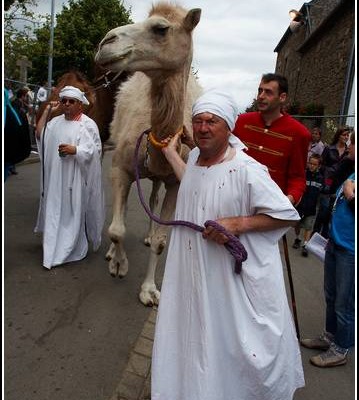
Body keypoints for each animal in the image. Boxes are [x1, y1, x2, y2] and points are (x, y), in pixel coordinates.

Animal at [95, 2, 202, 306]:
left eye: (161, 28)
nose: (106, 43)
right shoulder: (120, 167)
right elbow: (117, 229)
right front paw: (119, 265)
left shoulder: (176, 182)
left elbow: (161, 243)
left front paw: (149, 291)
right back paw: (111, 254)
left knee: (153, 197)